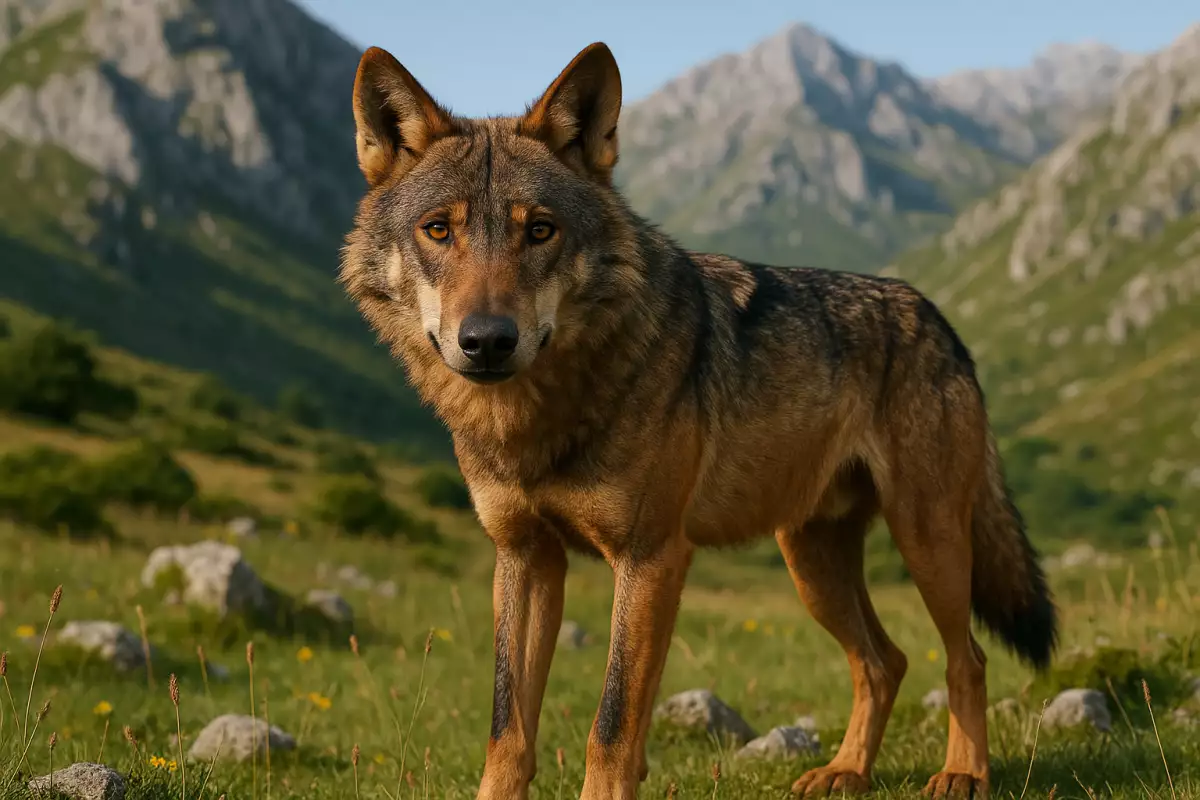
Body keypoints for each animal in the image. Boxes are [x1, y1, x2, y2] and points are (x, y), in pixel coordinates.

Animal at [339, 40, 1057, 800]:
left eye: (539, 231)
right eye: (438, 230)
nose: (486, 341)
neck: (537, 419)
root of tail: (940, 319)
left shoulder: (651, 557)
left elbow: (610, 726)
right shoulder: (525, 558)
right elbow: (509, 729)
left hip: (928, 543)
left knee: (966, 657)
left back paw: (962, 773)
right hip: (812, 566)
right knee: (884, 660)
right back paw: (845, 771)